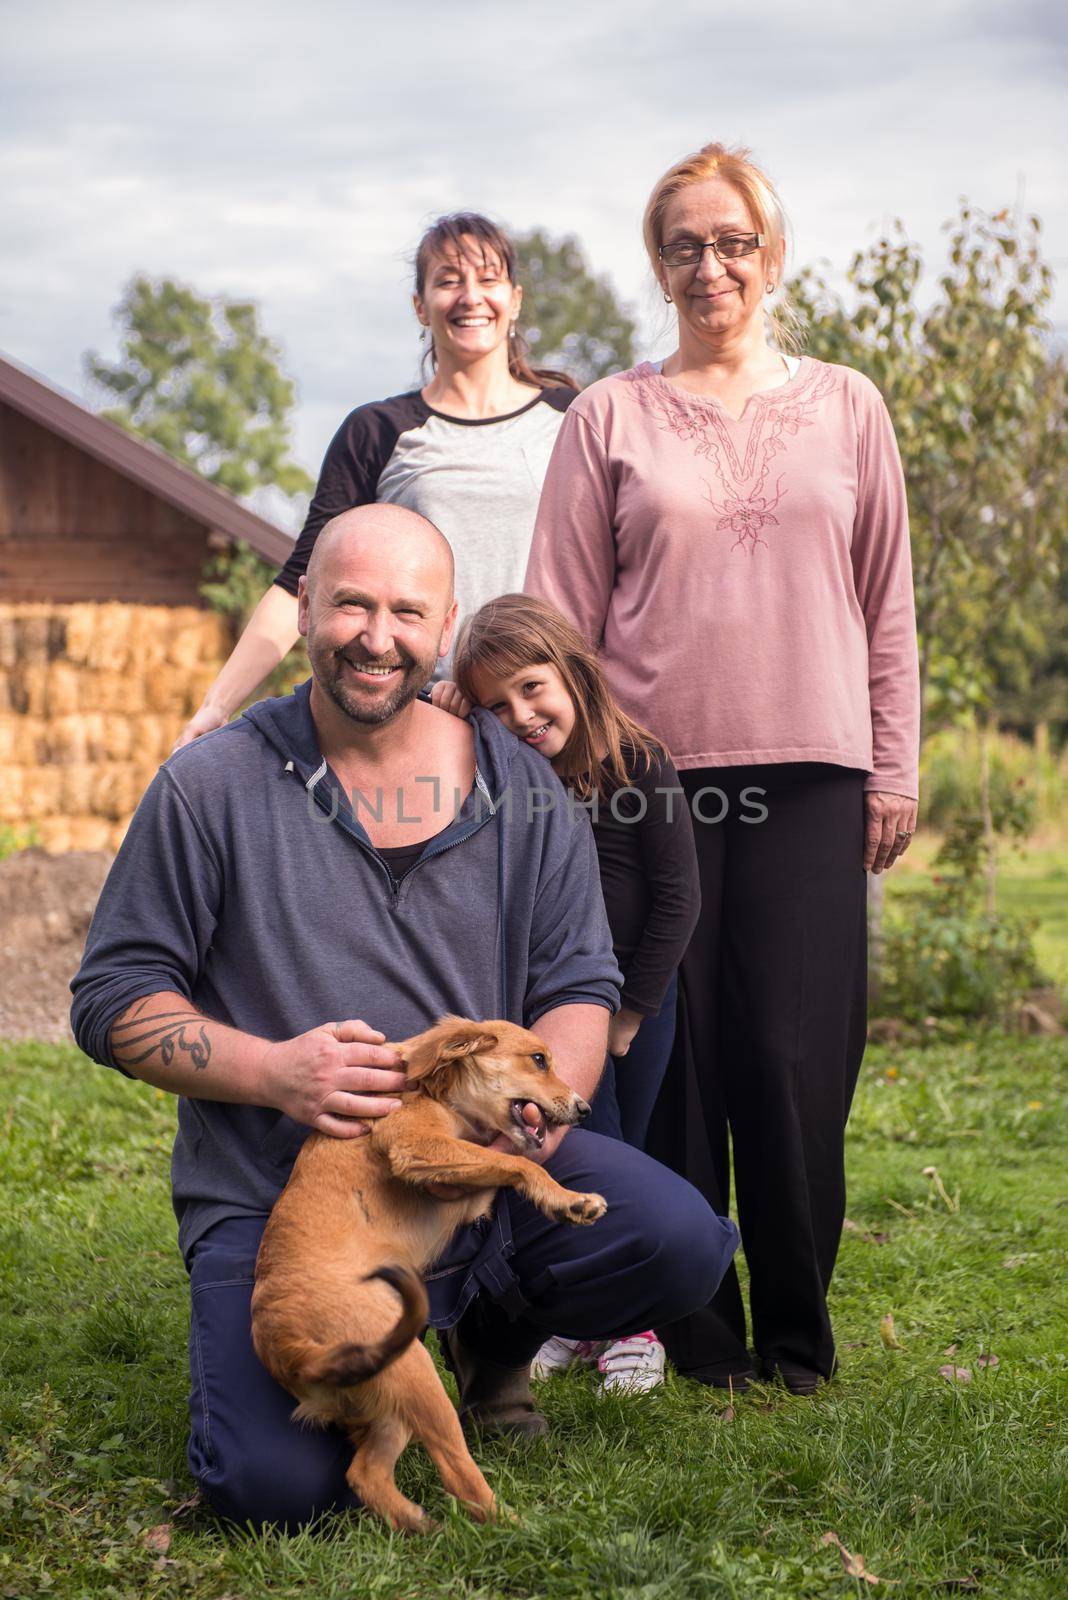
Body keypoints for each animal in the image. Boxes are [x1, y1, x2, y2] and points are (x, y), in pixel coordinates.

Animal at [246, 1017, 604, 1529]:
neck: (432, 1089)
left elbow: (502, 1169)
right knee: (461, 1477)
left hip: (388, 1403)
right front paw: (566, 1199)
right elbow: (514, 1161)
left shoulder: (464, 1193)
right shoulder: (416, 1147)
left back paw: (419, 1526)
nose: (585, 1108)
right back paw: (519, 1527)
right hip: (417, 1374)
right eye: (538, 1060)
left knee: (366, 1475)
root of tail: (291, 1350)